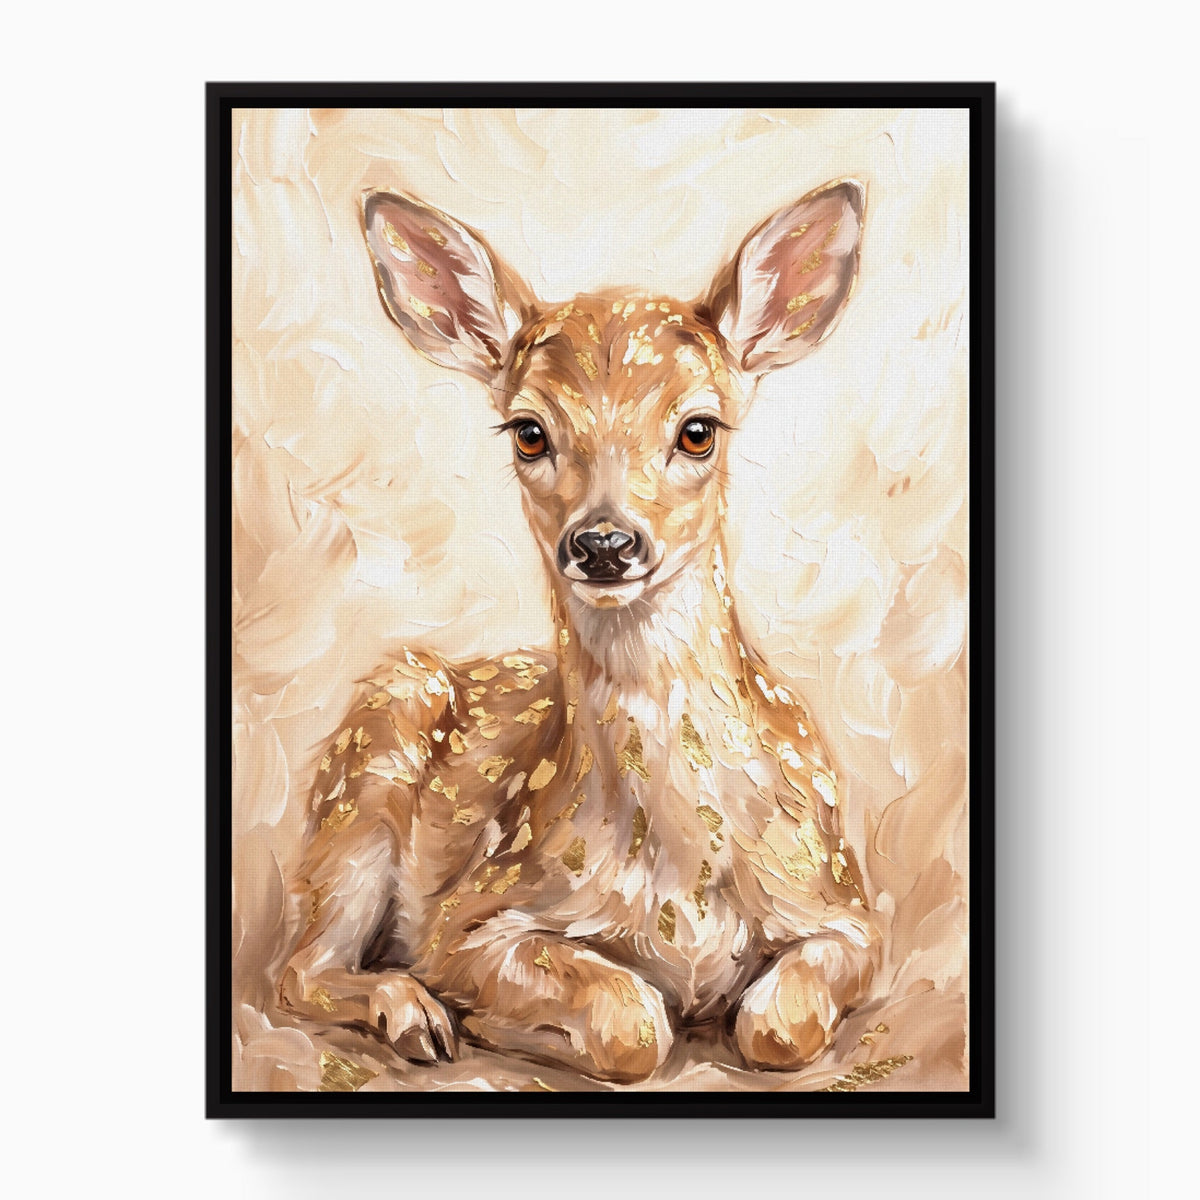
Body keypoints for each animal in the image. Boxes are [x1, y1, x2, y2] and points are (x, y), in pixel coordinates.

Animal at [276, 178, 880, 1083]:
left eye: (698, 428)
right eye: (530, 431)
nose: (603, 543)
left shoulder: (851, 910)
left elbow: (780, 1026)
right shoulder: (468, 919)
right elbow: (631, 1025)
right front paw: (488, 1020)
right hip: (370, 767)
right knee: (299, 969)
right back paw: (414, 1017)